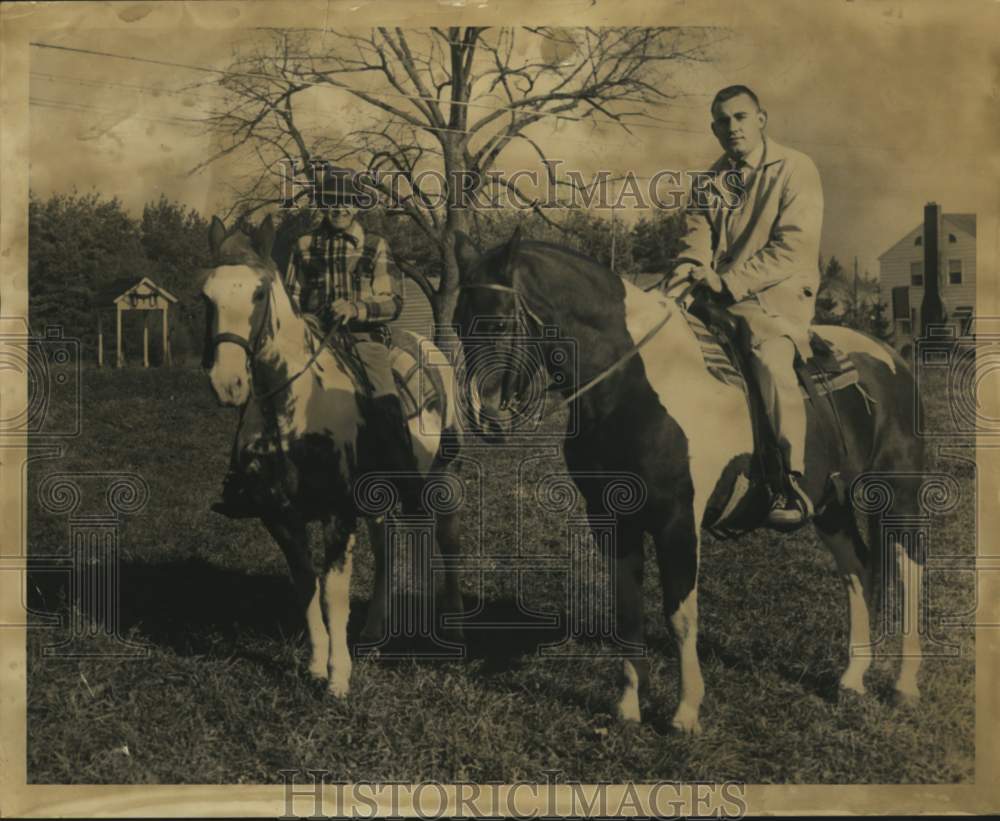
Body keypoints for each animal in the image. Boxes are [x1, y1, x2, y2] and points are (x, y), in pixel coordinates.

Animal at [200, 215, 464, 696]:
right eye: (206, 295)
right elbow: (306, 586)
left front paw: (339, 677)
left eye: (259, 293)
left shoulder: (337, 513)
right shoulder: (279, 516)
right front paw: (316, 665)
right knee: (385, 546)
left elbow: (332, 593)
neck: (293, 411)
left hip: (443, 475)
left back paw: (452, 625)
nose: (227, 383)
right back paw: (375, 631)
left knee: (448, 537)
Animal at [458, 227, 924, 732]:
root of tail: (892, 359)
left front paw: (685, 712)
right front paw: (628, 706)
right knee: (856, 570)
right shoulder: (610, 520)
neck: (634, 383)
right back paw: (852, 678)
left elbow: (680, 615)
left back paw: (904, 686)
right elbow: (627, 611)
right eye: (458, 324)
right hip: (829, 503)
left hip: (898, 493)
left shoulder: (676, 521)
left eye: (497, 324)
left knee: (909, 571)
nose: (484, 417)